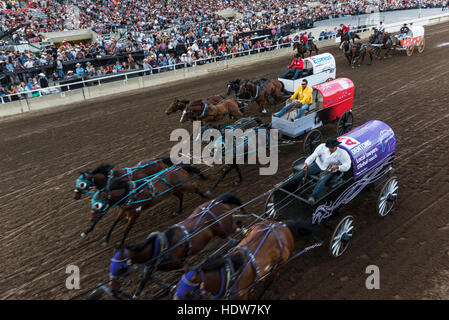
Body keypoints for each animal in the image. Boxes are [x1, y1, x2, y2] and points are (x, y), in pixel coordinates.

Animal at [105, 192, 245, 300]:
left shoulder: (183, 264)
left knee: (238, 225)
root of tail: (216, 201)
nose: (112, 289)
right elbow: (144, 280)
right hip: (222, 231)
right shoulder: (151, 267)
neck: (161, 248)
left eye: (120, 269)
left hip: (225, 228)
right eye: (110, 266)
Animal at [175, 220, 304, 300]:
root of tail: (282, 225)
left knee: (267, 285)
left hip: (278, 266)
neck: (228, 274)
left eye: (187, 294)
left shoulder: (240, 296)